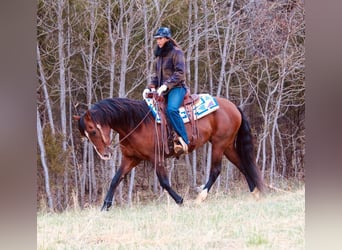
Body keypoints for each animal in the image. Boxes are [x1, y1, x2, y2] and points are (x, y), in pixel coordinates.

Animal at [73, 94, 264, 210]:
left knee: (216, 170)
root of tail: (233, 106)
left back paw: (200, 197)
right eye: (86, 135)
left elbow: (164, 181)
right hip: (228, 146)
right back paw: (255, 193)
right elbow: (115, 179)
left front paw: (180, 200)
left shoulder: (156, 157)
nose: (104, 155)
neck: (135, 122)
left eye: (93, 131)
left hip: (219, 144)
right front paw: (105, 206)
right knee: (243, 166)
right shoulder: (131, 158)